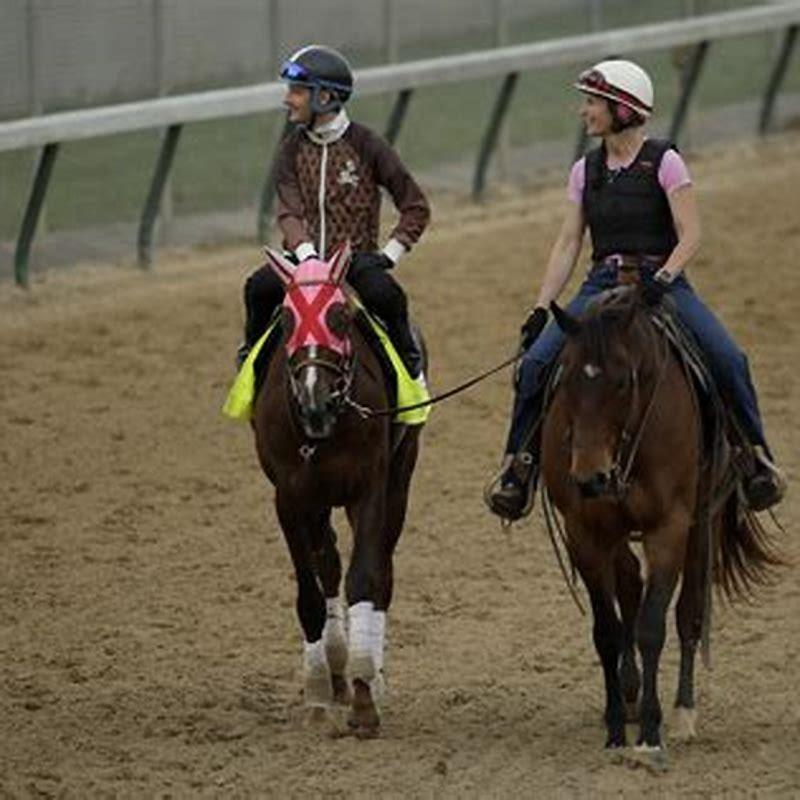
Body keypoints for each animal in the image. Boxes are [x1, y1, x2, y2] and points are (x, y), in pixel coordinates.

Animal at [253, 244, 422, 736]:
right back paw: (335, 672)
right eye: (287, 320)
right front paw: (317, 695)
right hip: (319, 501)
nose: (315, 402)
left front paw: (365, 700)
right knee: (326, 563)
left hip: (399, 478)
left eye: (341, 317)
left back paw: (371, 676)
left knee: (383, 568)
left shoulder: (370, 488)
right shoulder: (290, 498)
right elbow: (310, 592)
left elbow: (365, 578)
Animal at [540, 290, 780, 764]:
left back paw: (683, 713)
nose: (590, 478)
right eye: (568, 378)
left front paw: (651, 734)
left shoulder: (669, 528)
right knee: (631, 584)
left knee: (689, 613)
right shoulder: (585, 533)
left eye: (622, 382)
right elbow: (608, 631)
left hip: (701, 523)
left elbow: (653, 626)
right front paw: (617, 729)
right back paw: (631, 696)